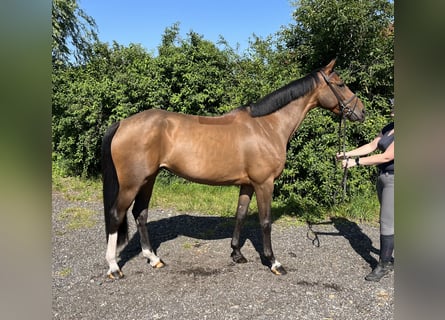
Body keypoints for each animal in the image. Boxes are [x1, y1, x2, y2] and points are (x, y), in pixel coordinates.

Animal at [101, 58, 364, 278]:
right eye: (341, 84)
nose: (361, 111)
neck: (267, 126)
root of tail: (122, 123)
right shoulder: (264, 183)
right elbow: (265, 221)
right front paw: (273, 262)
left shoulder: (247, 184)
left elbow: (240, 215)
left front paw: (237, 253)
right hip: (132, 183)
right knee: (116, 214)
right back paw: (113, 267)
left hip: (149, 179)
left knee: (140, 214)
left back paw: (153, 258)